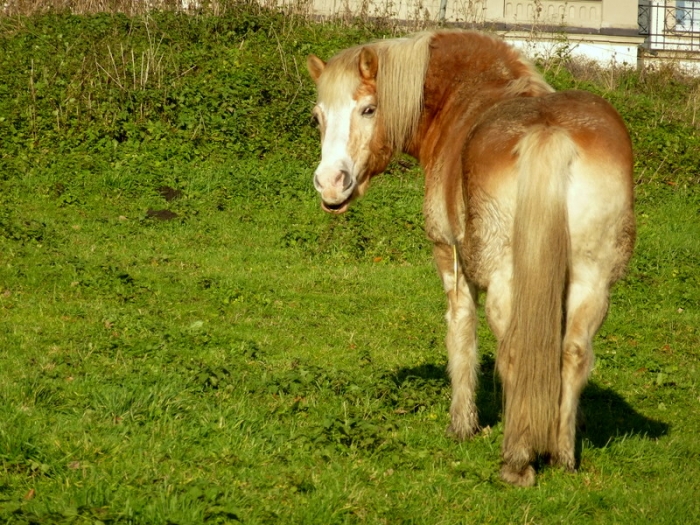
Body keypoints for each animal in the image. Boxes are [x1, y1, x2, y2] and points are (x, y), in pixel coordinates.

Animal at [306, 30, 635, 486]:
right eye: (318, 117)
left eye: (369, 109)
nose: (330, 183)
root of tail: (550, 133)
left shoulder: (450, 258)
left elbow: (460, 332)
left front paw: (461, 424)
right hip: (592, 281)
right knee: (573, 353)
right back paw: (563, 457)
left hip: (505, 281)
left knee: (513, 351)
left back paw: (517, 461)